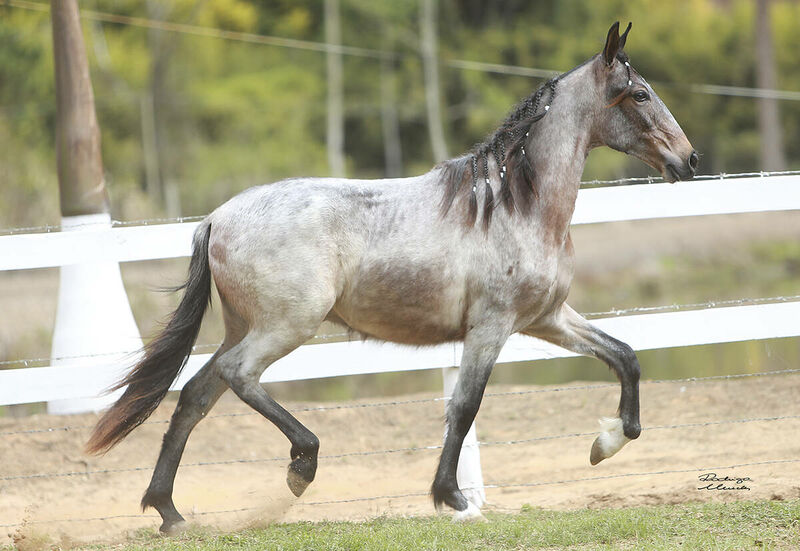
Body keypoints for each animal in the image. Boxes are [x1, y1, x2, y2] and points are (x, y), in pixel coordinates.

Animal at [87, 22, 692, 536]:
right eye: (640, 95)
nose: (687, 159)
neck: (514, 205)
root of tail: (217, 218)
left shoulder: (545, 318)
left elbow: (625, 357)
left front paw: (606, 443)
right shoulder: (492, 328)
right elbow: (464, 408)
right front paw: (452, 498)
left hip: (245, 326)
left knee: (195, 394)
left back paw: (169, 512)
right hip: (286, 326)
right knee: (239, 377)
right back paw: (300, 466)